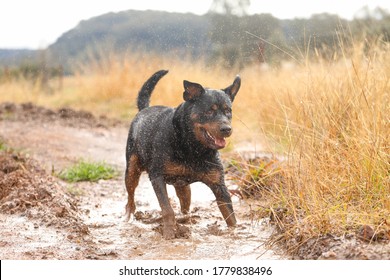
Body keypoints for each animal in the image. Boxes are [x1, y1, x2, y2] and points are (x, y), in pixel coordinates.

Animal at [125, 69, 241, 238]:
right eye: (209, 111)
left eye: (228, 111)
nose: (227, 129)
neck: (193, 149)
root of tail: (144, 109)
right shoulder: (157, 176)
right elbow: (167, 209)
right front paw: (169, 233)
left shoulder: (219, 185)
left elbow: (230, 215)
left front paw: (236, 232)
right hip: (132, 168)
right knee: (130, 196)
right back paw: (128, 216)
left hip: (183, 186)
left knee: (185, 203)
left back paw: (186, 220)